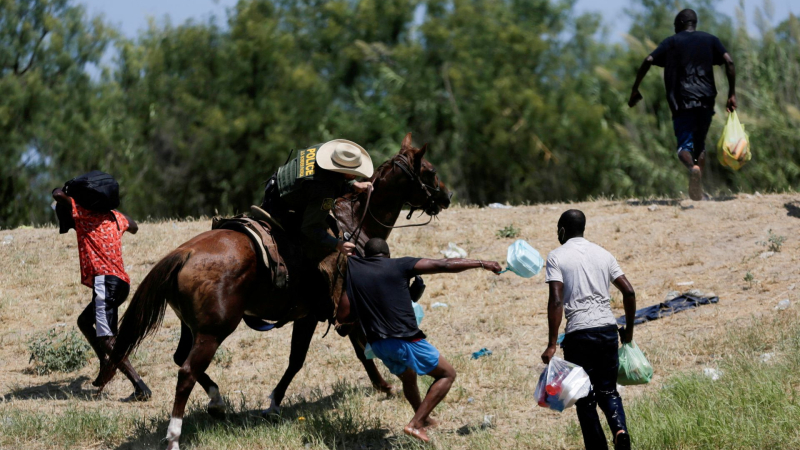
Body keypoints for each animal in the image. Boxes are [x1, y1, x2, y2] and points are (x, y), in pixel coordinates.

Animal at [99, 133, 451, 450]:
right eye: (430, 170)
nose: (446, 196)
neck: (356, 224)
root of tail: (184, 253)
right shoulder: (319, 314)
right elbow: (302, 359)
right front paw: (274, 402)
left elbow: (356, 349)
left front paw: (383, 386)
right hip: (214, 331)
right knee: (186, 370)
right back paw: (175, 435)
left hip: (192, 326)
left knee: (180, 359)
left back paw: (216, 402)